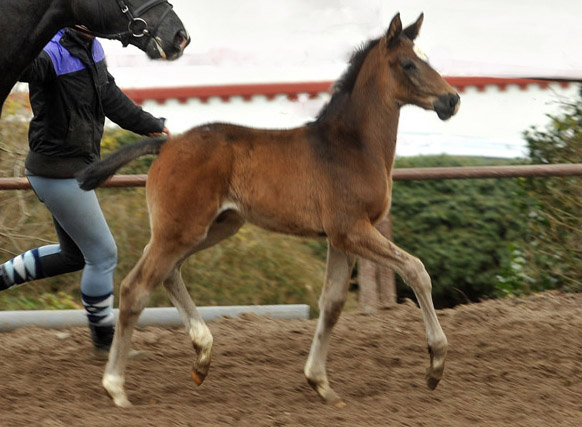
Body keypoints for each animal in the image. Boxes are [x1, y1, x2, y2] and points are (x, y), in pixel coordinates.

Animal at [77, 12, 460, 408]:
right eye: (408, 64)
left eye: (427, 58)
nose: (452, 100)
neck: (352, 146)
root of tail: (167, 145)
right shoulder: (352, 230)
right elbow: (416, 270)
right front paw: (435, 364)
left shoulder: (340, 238)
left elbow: (333, 303)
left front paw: (320, 382)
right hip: (181, 229)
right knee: (135, 288)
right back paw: (116, 386)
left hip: (213, 227)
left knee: (168, 272)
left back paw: (202, 356)